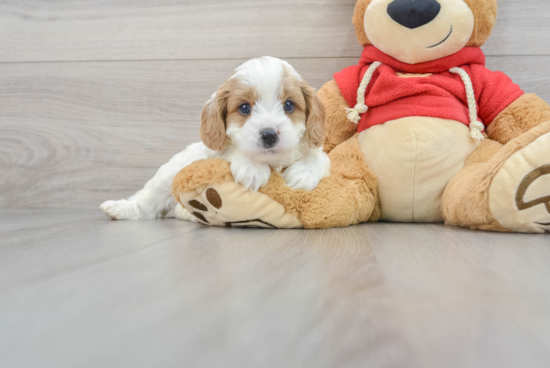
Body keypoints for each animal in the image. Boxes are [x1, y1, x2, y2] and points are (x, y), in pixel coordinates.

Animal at [101, 56, 330, 220]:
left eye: (289, 105)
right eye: (244, 108)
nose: (269, 134)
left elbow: (318, 157)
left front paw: (304, 172)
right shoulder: (214, 153)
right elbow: (233, 151)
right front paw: (252, 168)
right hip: (168, 176)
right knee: (146, 203)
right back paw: (120, 208)